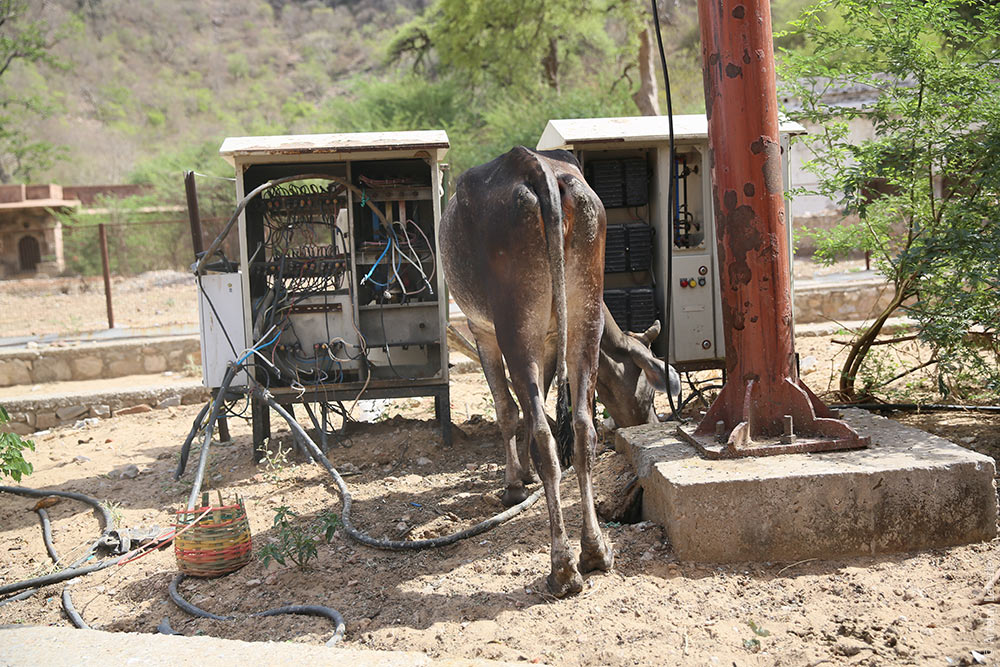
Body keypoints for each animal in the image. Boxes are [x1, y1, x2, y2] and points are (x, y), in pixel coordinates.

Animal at [446, 146, 616, 596]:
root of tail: (536, 167)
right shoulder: (551, 339)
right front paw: (522, 476)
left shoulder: (483, 331)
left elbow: (508, 411)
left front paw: (513, 484)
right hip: (586, 316)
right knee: (583, 429)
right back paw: (594, 552)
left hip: (515, 328)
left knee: (542, 432)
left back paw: (562, 569)